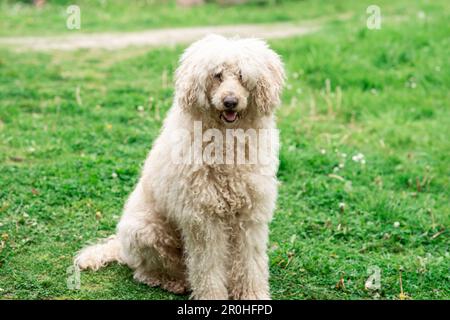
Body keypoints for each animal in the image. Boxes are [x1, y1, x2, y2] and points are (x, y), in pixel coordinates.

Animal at [74, 33, 284, 298]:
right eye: (217, 75)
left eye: (241, 75)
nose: (230, 102)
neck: (226, 140)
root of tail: (121, 248)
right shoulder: (203, 220)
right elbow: (207, 267)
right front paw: (212, 296)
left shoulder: (250, 215)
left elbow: (250, 262)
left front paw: (252, 295)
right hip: (147, 232)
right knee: (146, 272)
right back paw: (172, 282)